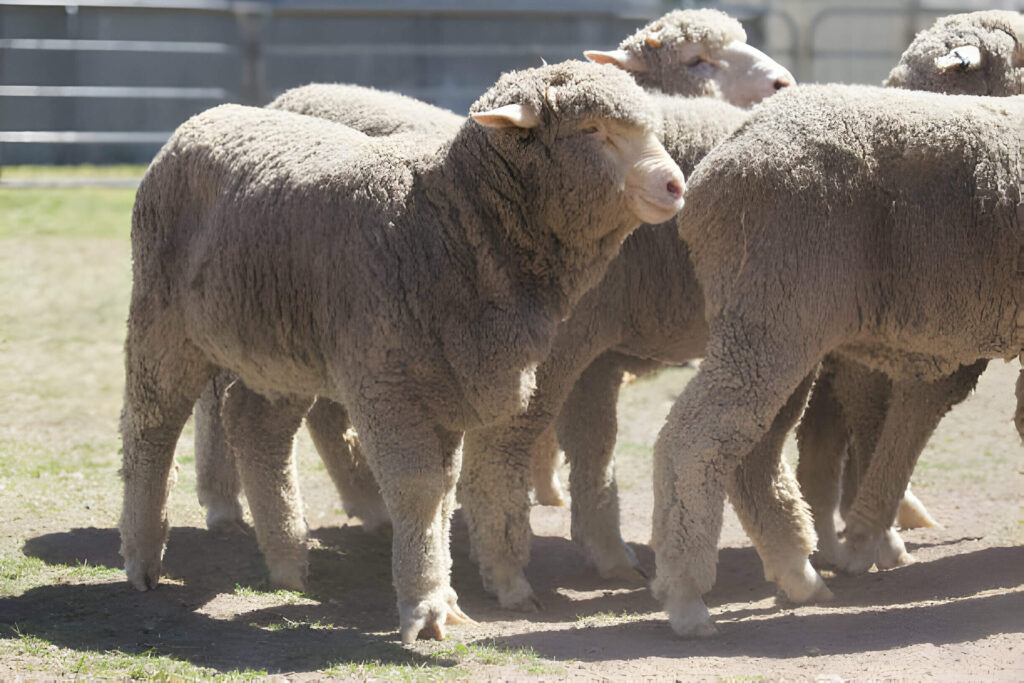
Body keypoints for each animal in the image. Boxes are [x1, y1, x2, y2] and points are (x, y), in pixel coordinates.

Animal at [117, 60, 688, 647]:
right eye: (592, 130)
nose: (676, 185)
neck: (442, 223)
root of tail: (206, 116)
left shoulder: (447, 386)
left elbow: (444, 491)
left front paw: (446, 598)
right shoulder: (386, 381)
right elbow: (417, 489)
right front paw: (425, 605)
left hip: (277, 350)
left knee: (255, 427)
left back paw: (287, 562)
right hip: (162, 321)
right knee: (150, 429)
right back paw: (143, 557)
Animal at [655, 83, 1024, 634]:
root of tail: (716, 166)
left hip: (774, 319)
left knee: (753, 453)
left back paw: (798, 574)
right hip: (774, 311)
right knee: (692, 439)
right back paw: (687, 597)